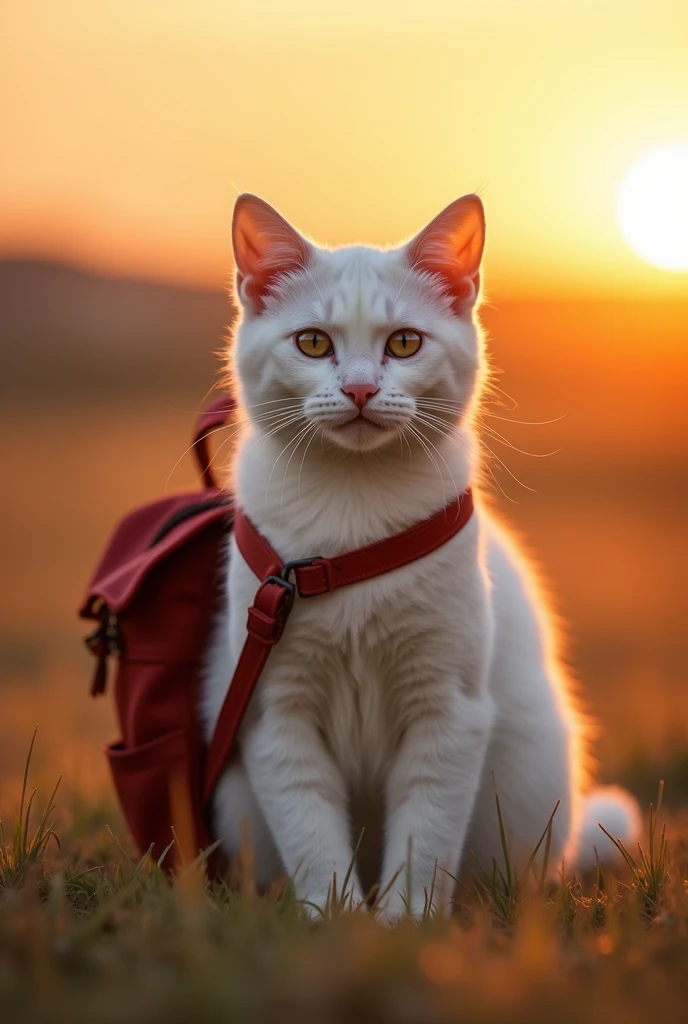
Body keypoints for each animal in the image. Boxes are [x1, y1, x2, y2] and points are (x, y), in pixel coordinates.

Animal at [201, 192, 642, 921]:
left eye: (404, 342)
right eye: (313, 342)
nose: (358, 389)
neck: (352, 511)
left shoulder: (449, 712)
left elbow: (425, 836)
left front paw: (405, 924)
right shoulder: (275, 716)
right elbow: (313, 838)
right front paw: (334, 920)